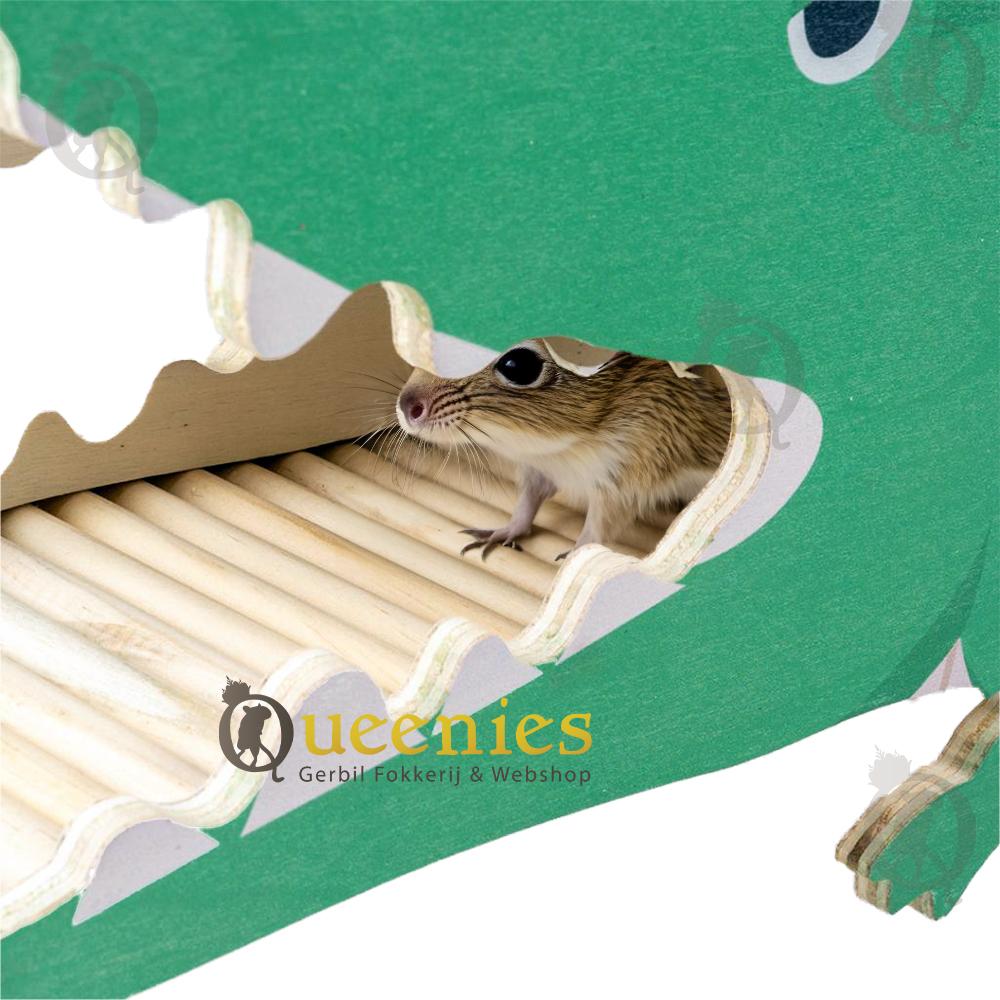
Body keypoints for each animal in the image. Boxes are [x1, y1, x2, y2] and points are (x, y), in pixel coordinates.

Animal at [395, 339, 732, 558]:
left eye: (518, 366)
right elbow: (526, 506)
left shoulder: (626, 478)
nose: (405, 407)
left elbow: (597, 530)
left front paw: (574, 558)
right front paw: (502, 532)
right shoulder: (539, 470)